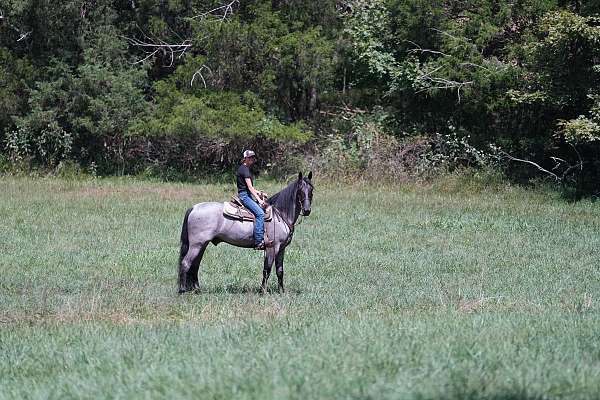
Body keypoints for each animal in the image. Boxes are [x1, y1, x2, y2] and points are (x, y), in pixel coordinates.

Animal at [177, 171, 314, 294]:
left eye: (311, 190)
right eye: (300, 190)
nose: (307, 210)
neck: (280, 214)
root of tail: (194, 208)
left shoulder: (281, 249)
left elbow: (280, 270)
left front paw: (282, 291)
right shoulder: (272, 247)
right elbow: (267, 269)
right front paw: (262, 291)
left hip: (202, 245)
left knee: (195, 265)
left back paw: (197, 289)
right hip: (196, 245)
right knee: (185, 263)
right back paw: (182, 290)